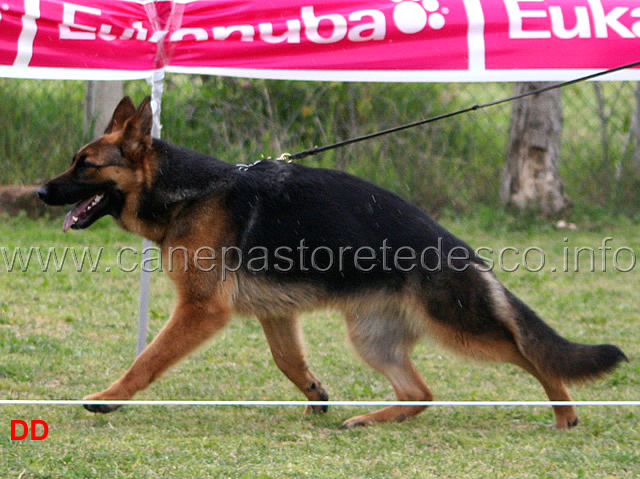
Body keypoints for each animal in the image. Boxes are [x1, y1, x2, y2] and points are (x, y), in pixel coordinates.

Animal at [37, 95, 628, 430]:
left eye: (85, 166)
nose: (41, 192)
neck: (190, 191)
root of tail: (455, 244)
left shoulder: (201, 311)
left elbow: (147, 360)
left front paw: (109, 400)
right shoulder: (275, 314)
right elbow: (288, 362)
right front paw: (317, 397)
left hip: (460, 329)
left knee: (527, 353)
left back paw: (565, 412)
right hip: (371, 337)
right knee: (422, 394)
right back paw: (372, 418)